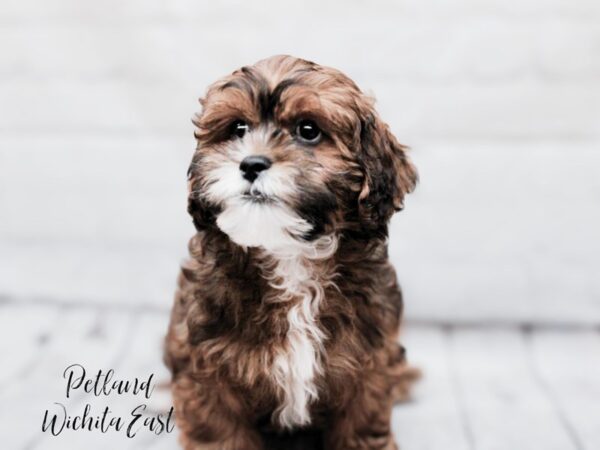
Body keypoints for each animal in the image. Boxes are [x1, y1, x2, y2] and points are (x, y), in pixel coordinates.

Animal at [163, 54, 418, 448]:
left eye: (308, 130)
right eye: (238, 128)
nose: (251, 163)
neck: (288, 255)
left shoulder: (368, 365)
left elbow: (361, 426)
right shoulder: (206, 370)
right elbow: (221, 432)